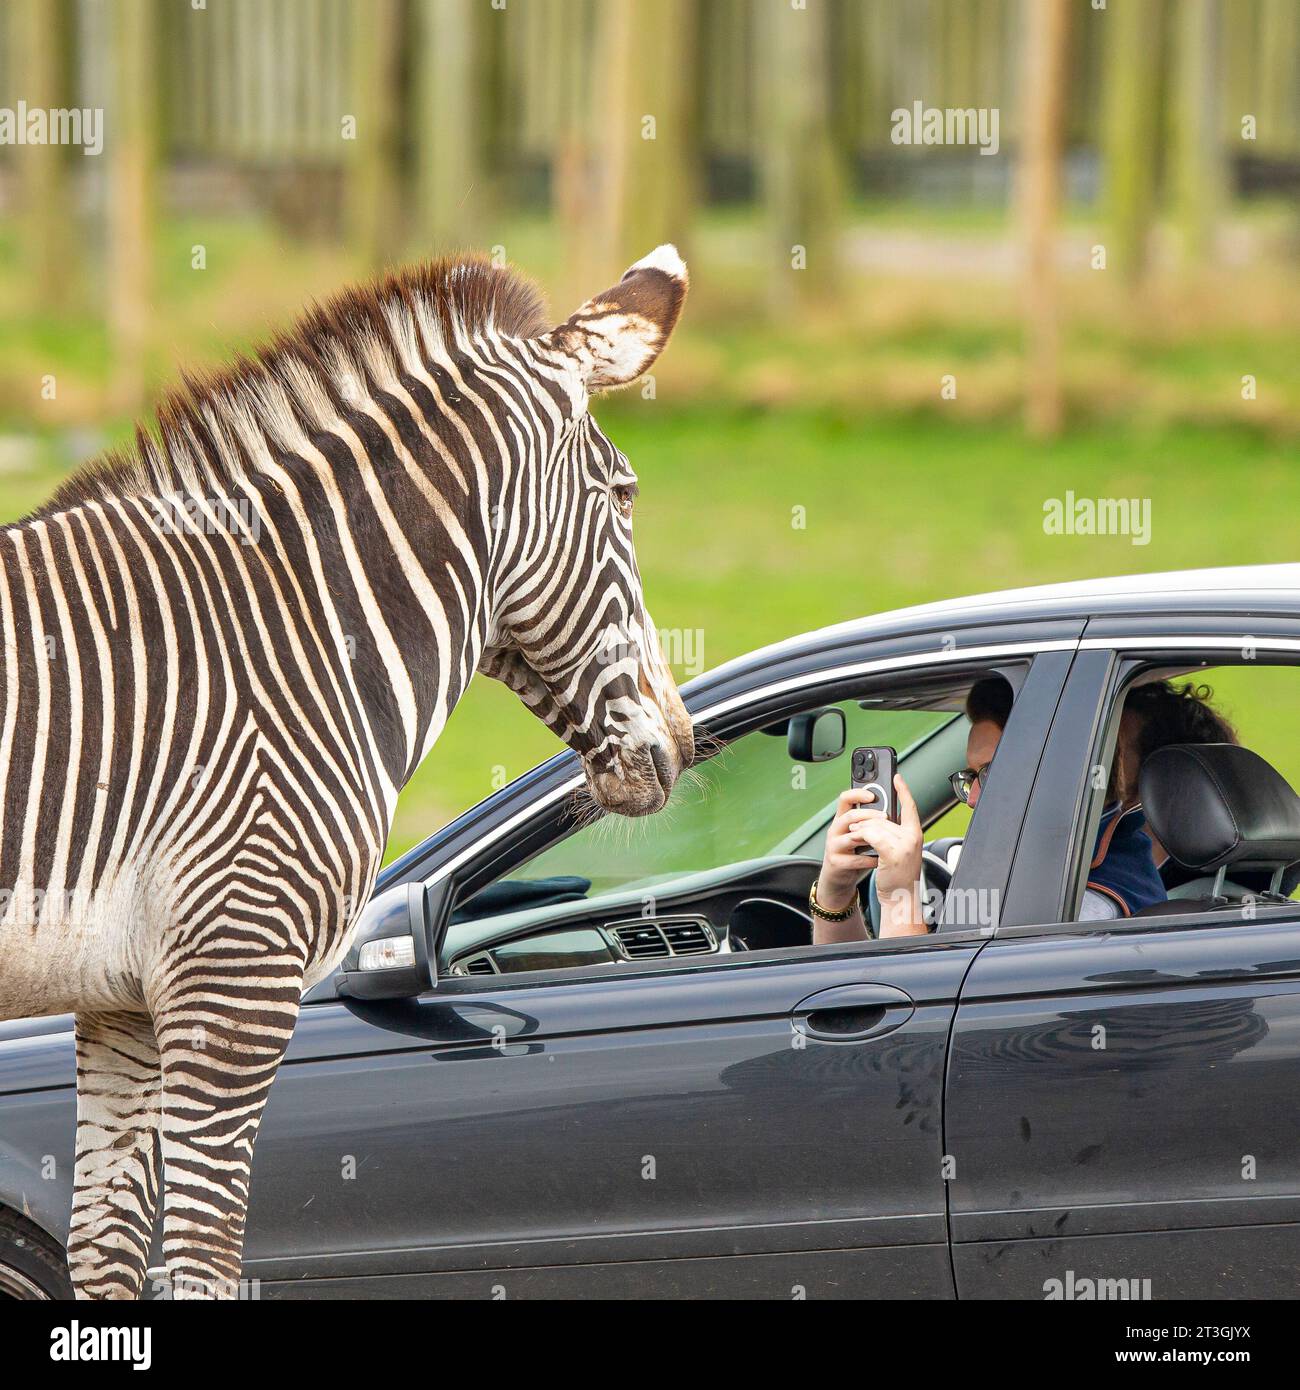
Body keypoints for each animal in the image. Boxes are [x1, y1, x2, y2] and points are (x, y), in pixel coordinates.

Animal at [0, 244, 695, 1295]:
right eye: (623, 495)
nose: (681, 746)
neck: (284, 633)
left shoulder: (119, 1000)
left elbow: (107, 1254)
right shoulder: (235, 975)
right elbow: (203, 1258)